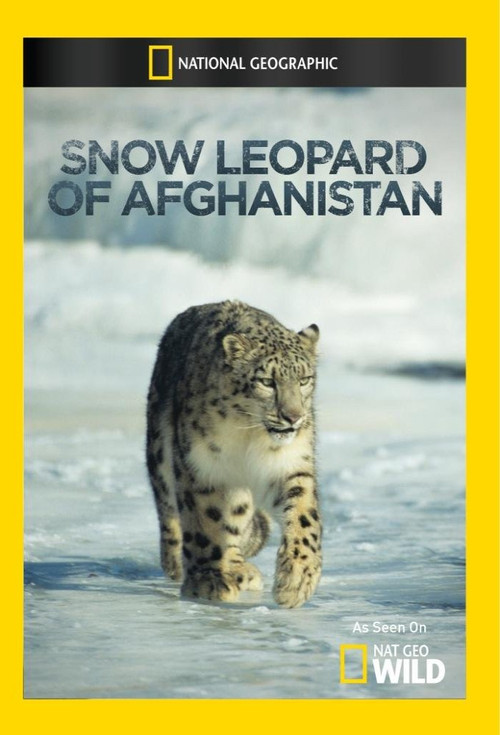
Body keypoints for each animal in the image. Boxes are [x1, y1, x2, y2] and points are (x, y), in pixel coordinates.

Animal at [146, 300, 322, 608]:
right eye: (267, 381)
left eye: (304, 379)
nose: (293, 417)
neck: (251, 437)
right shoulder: (201, 468)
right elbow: (205, 522)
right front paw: (207, 581)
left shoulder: (291, 465)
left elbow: (304, 516)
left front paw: (297, 580)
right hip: (160, 454)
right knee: (170, 516)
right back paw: (182, 564)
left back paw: (240, 568)